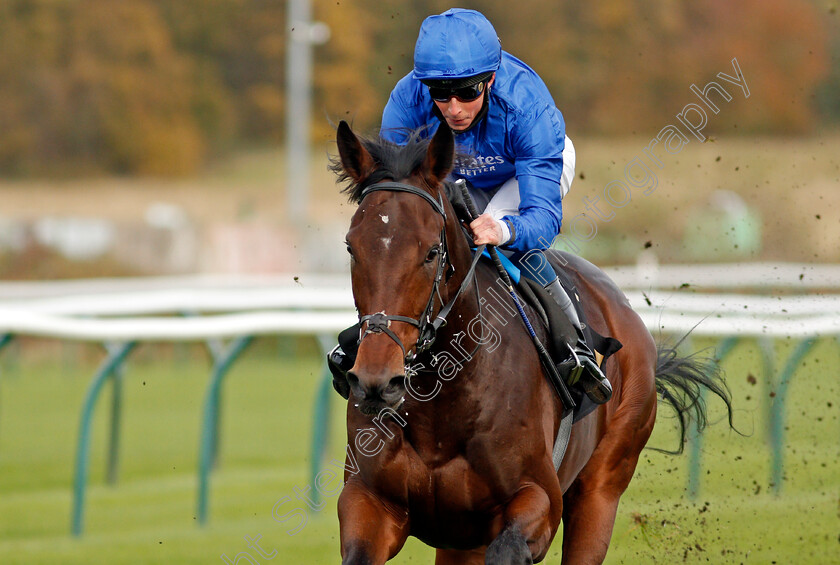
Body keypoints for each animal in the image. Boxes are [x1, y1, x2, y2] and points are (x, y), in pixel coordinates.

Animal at [332, 120, 732, 564]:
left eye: (432, 251)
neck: (445, 399)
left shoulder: (539, 500)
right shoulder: (370, 500)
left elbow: (511, 543)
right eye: (351, 247)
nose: (376, 381)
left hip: (602, 488)